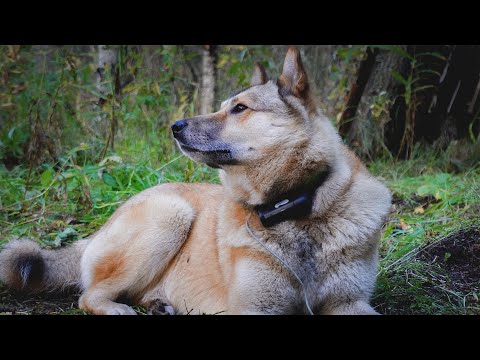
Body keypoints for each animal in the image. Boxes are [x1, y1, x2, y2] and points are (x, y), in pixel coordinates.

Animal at [0, 47, 390, 316]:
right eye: (223, 105)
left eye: (239, 108)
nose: (175, 126)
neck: (294, 207)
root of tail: (97, 232)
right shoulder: (255, 308)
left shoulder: (350, 303)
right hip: (170, 215)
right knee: (89, 296)